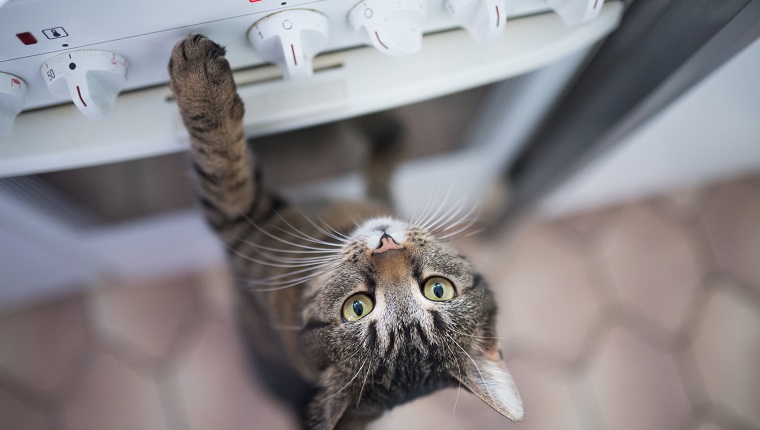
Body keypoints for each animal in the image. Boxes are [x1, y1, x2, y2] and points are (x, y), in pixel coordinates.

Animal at [166, 34, 524, 430]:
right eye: (439, 289)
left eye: (356, 307)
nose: (386, 244)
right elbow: (388, 153)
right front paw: (376, 115)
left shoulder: (243, 221)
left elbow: (221, 160)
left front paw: (198, 83)